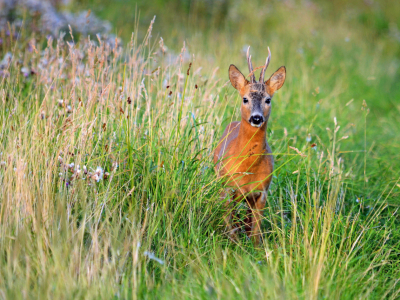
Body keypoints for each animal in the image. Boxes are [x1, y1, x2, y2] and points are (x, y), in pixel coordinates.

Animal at [214, 46, 286, 246]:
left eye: (268, 100)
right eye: (245, 99)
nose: (256, 118)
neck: (248, 168)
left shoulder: (262, 191)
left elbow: (256, 229)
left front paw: (255, 247)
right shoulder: (227, 188)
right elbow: (229, 224)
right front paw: (233, 244)